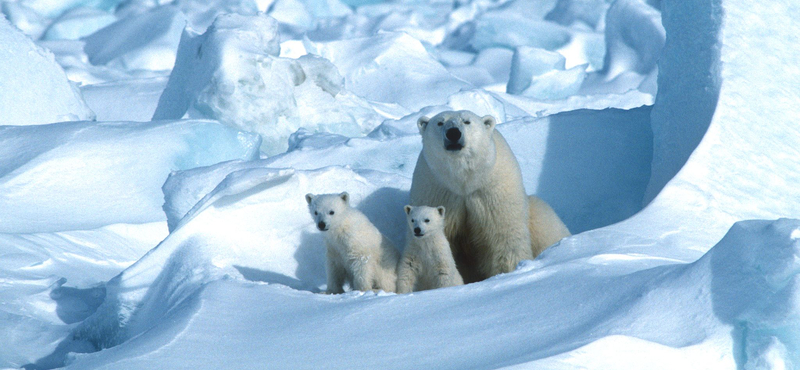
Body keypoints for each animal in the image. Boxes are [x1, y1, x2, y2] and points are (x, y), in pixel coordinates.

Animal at [412, 110, 568, 284]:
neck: (464, 181)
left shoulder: (492, 190)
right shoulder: (438, 190)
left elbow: (503, 236)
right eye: (440, 122)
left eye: (467, 121)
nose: (453, 133)